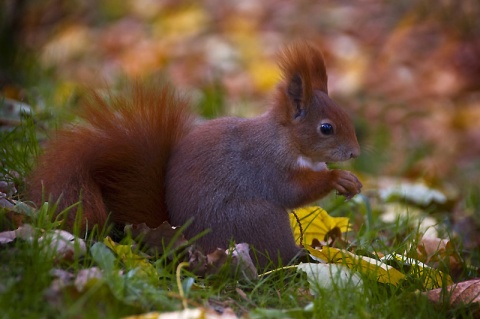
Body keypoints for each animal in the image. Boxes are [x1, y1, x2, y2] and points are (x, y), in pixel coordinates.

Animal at [28, 42, 362, 268]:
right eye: (326, 128)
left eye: (347, 115)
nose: (355, 152)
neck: (287, 139)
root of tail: (187, 243)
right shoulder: (266, 165)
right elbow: (292, 191)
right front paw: (338, 178)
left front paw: (352, 182)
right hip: (260, 221)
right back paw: (297, 258)